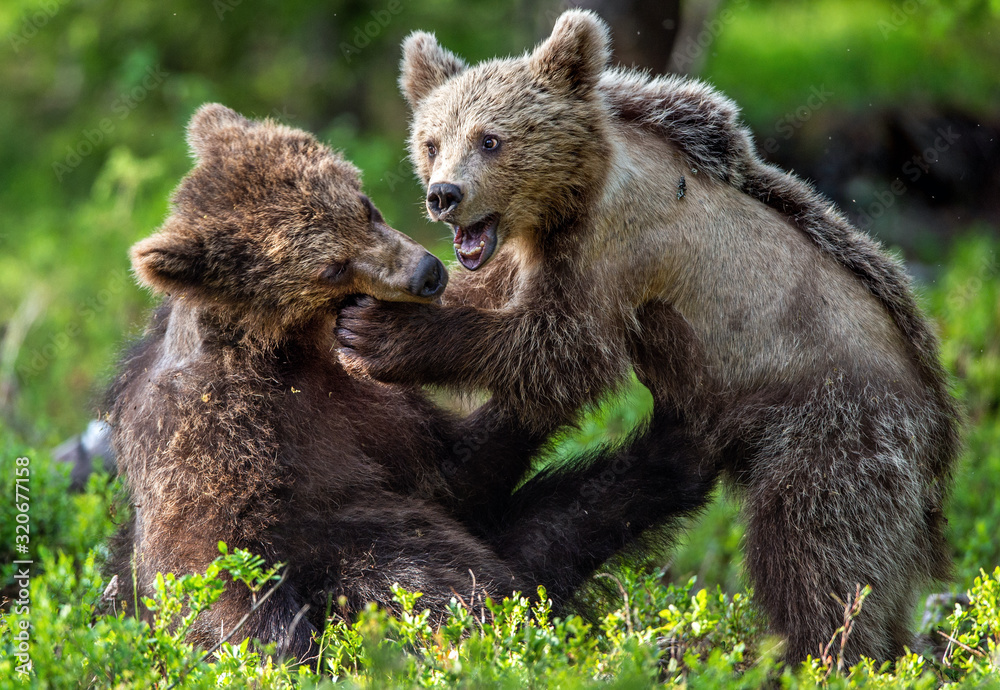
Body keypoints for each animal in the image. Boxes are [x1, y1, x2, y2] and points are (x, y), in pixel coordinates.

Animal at [107, 103, 711, 662]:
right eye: (329, 265)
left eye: (366, 207)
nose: (427, 271)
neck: (279, 350)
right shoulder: (214, 444)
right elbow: (221, 574)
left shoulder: (359, 403)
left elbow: (452, 473)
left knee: (569, 516)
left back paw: (683, 440)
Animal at [333, 10, 960, 665]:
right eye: (432, 141)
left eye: (490, 139)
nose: (443, 196)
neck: (574, 196)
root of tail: (938, 437)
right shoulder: (527, 253)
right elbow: (493, 300)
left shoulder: (616, 250)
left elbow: (561, 350)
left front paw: (381, 334)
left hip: (839, 425)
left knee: (814, 547)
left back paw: (819, 654)